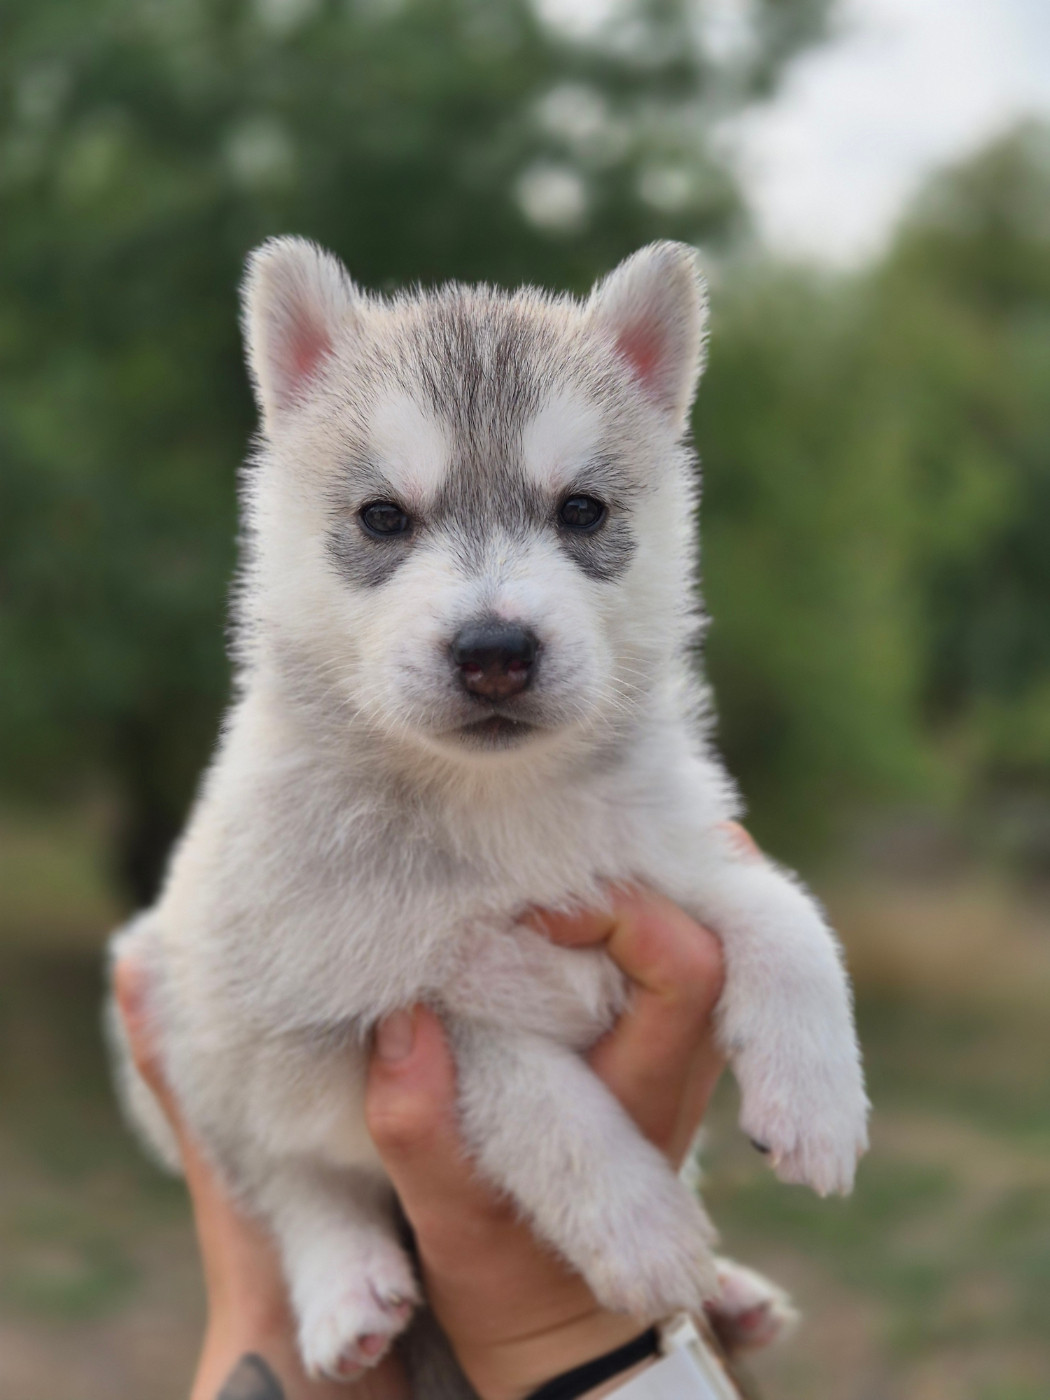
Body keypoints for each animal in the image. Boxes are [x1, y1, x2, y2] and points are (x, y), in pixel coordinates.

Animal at [107, 238, 868, 1389]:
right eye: (384, 516)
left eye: (582, 511)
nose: (496, 649)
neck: (498, 804)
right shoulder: (384, 1010)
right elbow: (532, 1096)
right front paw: (642, 1227)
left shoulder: (668, 850)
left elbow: (780, 909)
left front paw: (817, 1096)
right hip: (188, 1012)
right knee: (287, 1179)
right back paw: (346, 1288)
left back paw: (735, 1294)